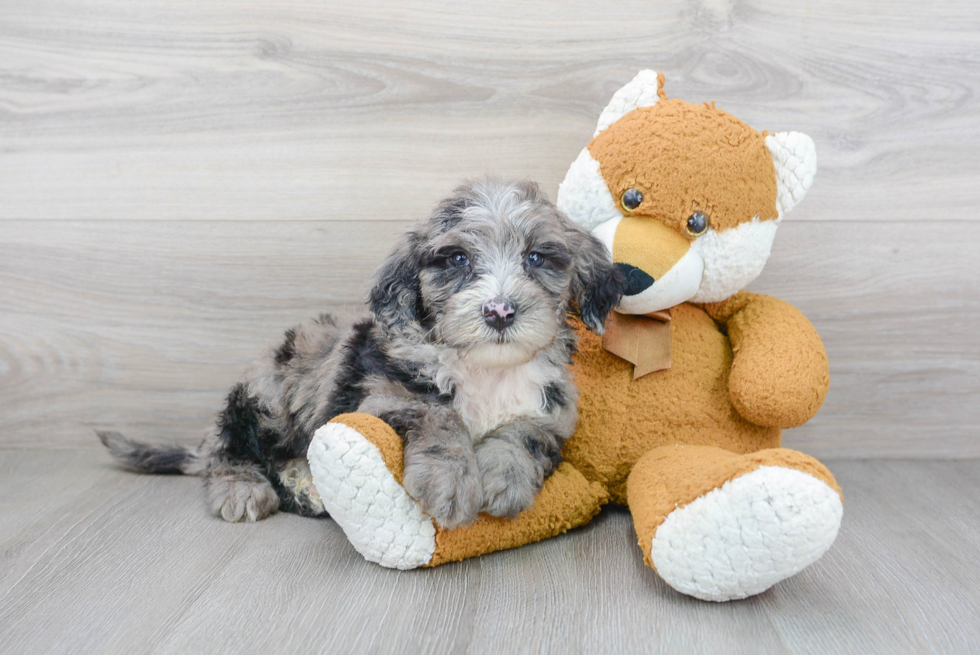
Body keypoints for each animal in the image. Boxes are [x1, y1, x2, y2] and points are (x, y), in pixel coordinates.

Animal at [101, 178, 628, 528]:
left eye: (538, 257)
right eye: (457, 259)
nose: (499, 311)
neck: (484, 369)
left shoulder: (553, 414)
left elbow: (524, 432)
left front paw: (505, 476)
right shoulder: (379, 395)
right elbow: (437, 415)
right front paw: (451, 481)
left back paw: (305, 484)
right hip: (265, 397)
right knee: (231, 450)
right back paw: (242, 488)